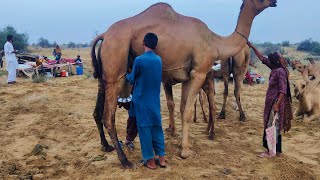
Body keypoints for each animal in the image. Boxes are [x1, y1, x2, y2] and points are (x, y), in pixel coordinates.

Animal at [90, 0, 278, 168]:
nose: (274, 1)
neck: (215, 42)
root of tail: (104, 35)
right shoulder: (199, 72)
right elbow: (187, 111)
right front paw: (186, 152)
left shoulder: (188, 76)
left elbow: (182, 109)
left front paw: (182, 144)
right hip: (116, 64)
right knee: (108, 117)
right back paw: (125, 161)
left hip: (104, 74)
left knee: (98, 111)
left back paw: (106, 146)